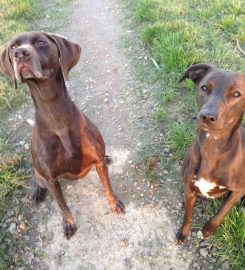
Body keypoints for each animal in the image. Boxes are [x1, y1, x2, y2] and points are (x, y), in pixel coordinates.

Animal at [0, 30, 123, 239]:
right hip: (42, 175)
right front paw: (68, 224)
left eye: (41, 42)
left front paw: (114, 203)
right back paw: (37, 191)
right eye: (13, 47)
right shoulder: (50, 177)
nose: (20, 54)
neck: (54, 111)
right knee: (37, 177)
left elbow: (107, 186)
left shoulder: (97, 161)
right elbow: (62, 204)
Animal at [176, 63, 245, 245]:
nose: (207, 116)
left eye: (236, 94)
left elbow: (222, 211)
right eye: (204, 87)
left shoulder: (238, 190)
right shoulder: (190, 188)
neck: (212, 146)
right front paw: (183, 232)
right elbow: (188, 215)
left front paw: (209, 229)